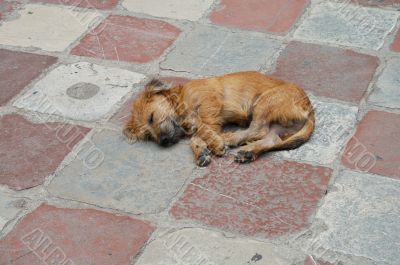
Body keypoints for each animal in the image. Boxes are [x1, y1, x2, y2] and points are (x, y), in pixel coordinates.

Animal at [123, 71, 314, 166]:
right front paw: (201, 152)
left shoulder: (208, 104)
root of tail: (309, 108)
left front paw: (215, 143)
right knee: (271, 138)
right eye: (148, 136)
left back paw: (229, 139)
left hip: (265, 102)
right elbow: (195, 138)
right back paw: (247, 152)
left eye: (151, 117)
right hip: (276, 124)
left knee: (258, 130)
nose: (163, 142)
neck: (181, 97)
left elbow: (202, 128)